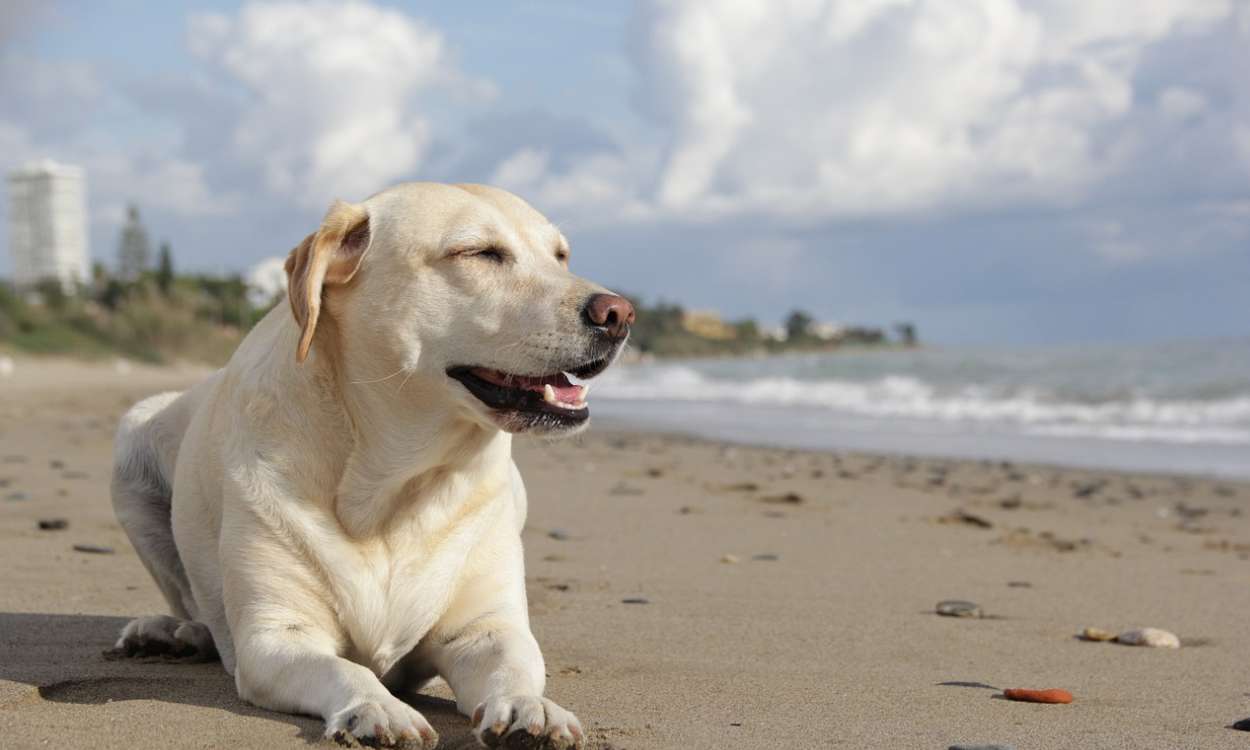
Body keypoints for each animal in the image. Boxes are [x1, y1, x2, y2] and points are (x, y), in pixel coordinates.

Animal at [110, 182, 635, 750]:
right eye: (479, 253)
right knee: (191, 602)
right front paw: (377, 707)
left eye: (560, 256)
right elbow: (346, 668)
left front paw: (530, 707)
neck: (394, 487)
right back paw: (173, 632)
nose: (619, 313)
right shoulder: (275, 637)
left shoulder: (486, 628)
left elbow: (515, 664)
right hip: (131, 441)